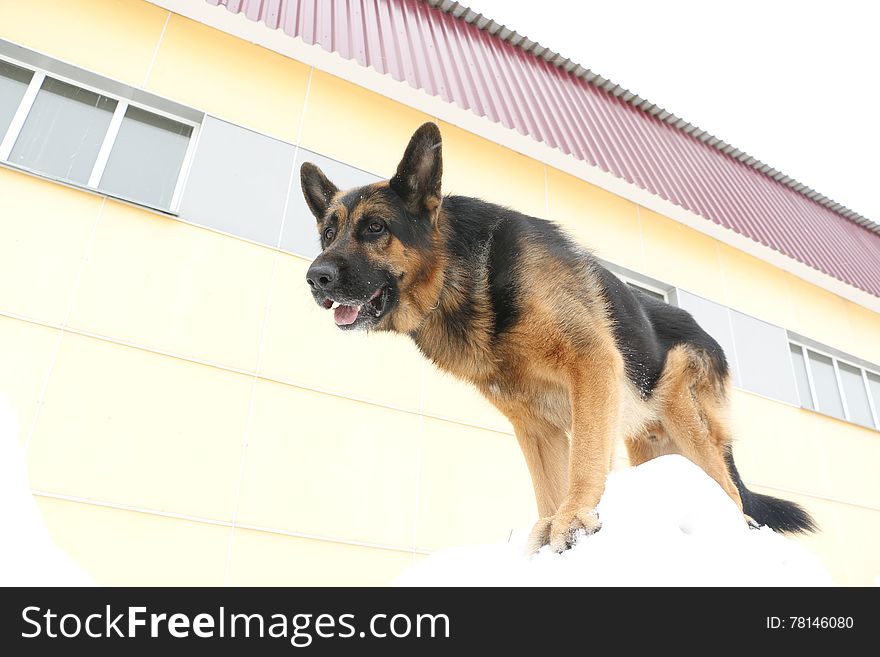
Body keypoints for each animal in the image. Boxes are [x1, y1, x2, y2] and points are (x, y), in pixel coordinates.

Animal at [300, 121, 816, 548]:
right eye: (327, 234)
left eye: (375, 227)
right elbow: (548, 487)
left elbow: (583, 461)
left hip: (683, 408)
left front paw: (573, 518)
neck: (463, 278)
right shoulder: (535, 426)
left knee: (731, 491)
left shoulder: (592, 367)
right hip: (651, 444)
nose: (316, 278)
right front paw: (550, 527)